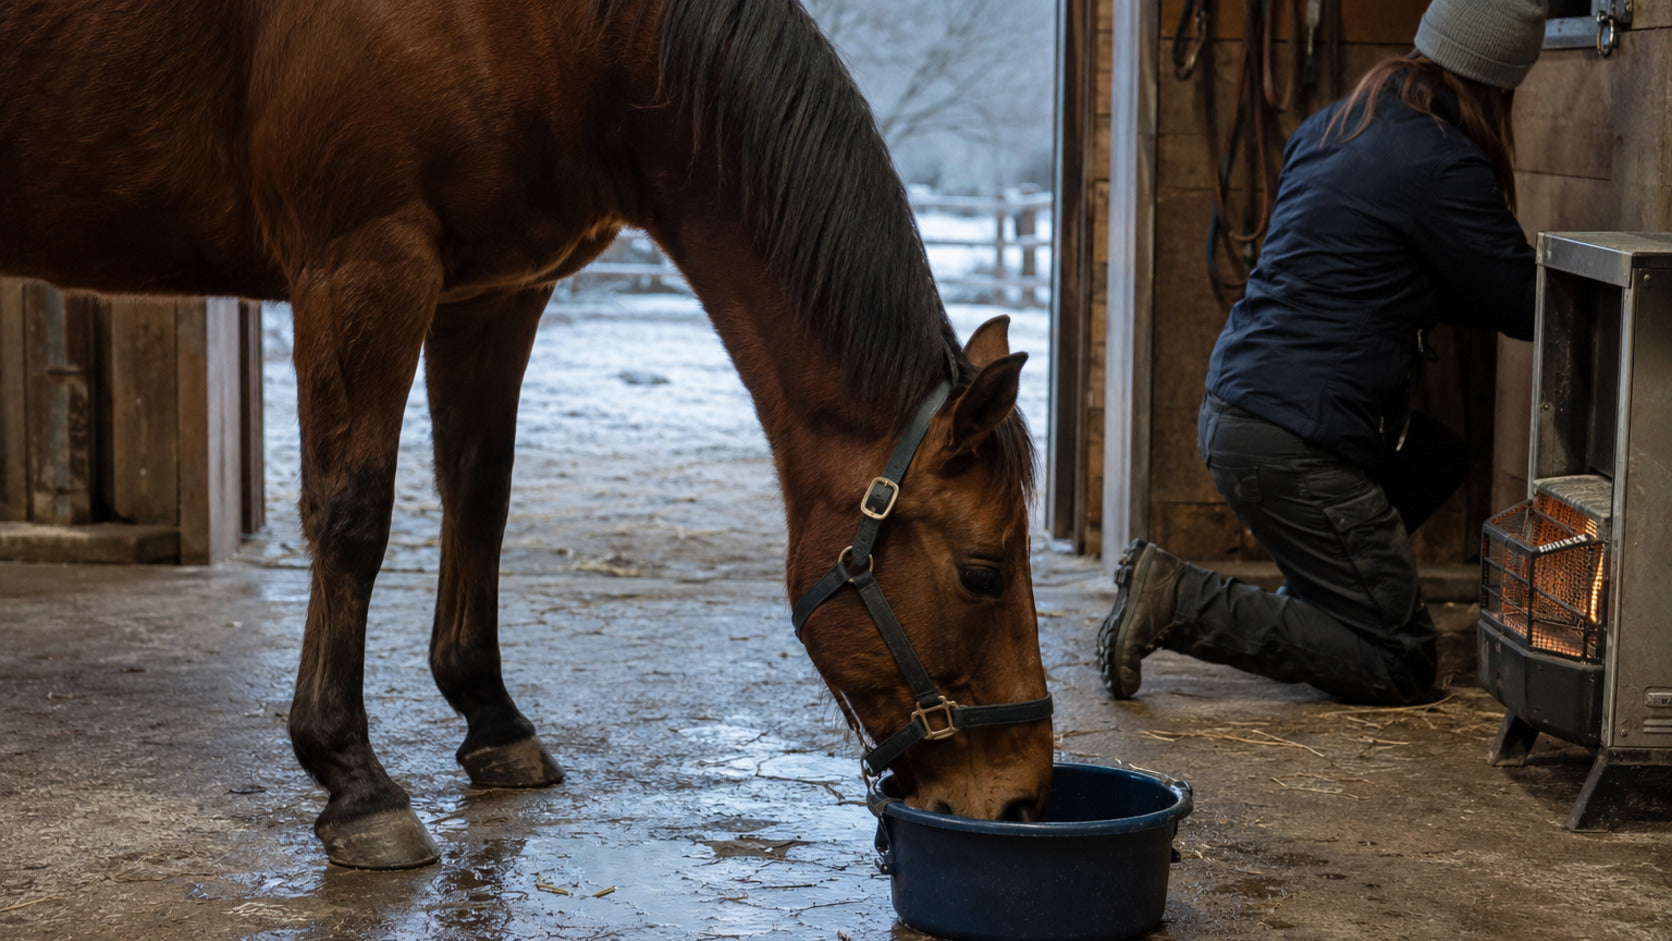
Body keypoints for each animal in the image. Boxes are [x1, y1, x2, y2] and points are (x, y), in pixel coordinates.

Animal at [0, 0, 1055, 869]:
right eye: (983, 573)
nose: (1021, 804)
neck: (560, 34)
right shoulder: (364, 265)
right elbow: (353, 514)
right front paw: (353, 779)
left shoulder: (494, 293)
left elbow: (481, 491)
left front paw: (492, 720)